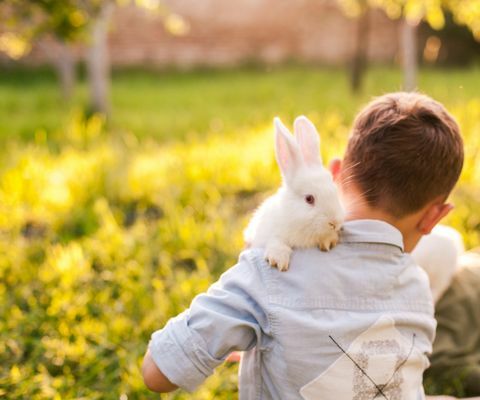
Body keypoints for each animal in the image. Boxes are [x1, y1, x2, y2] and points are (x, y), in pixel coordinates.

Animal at [244, 116, 344, 272]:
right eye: (309, 199)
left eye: (335, 190)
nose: (334, 222)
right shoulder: (269, 233)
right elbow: (275, 241)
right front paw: (278, 260)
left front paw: (328, 241)